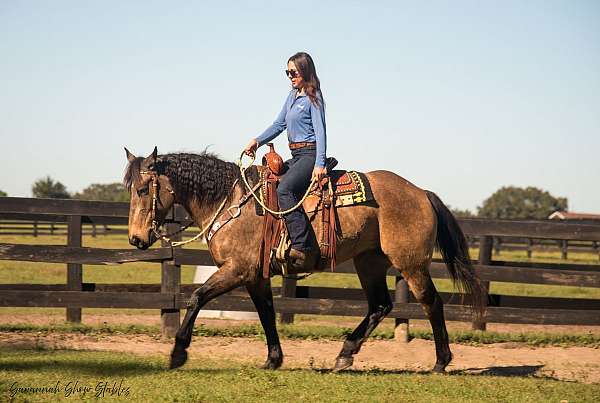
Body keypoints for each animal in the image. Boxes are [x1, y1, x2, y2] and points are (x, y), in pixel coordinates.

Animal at [124, 147, 486, 374]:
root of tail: (421, 192)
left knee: (431, 303)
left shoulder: (237, 270)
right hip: (369, 262)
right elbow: (267, 314)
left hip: (411, 265)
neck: (231, 200)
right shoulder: (255, 276)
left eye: (143, 189)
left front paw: (178, 352)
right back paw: (344, 355)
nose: (136, 239)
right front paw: (273, 359)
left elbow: (197, 297)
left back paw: (441, 361)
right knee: (380, 305)